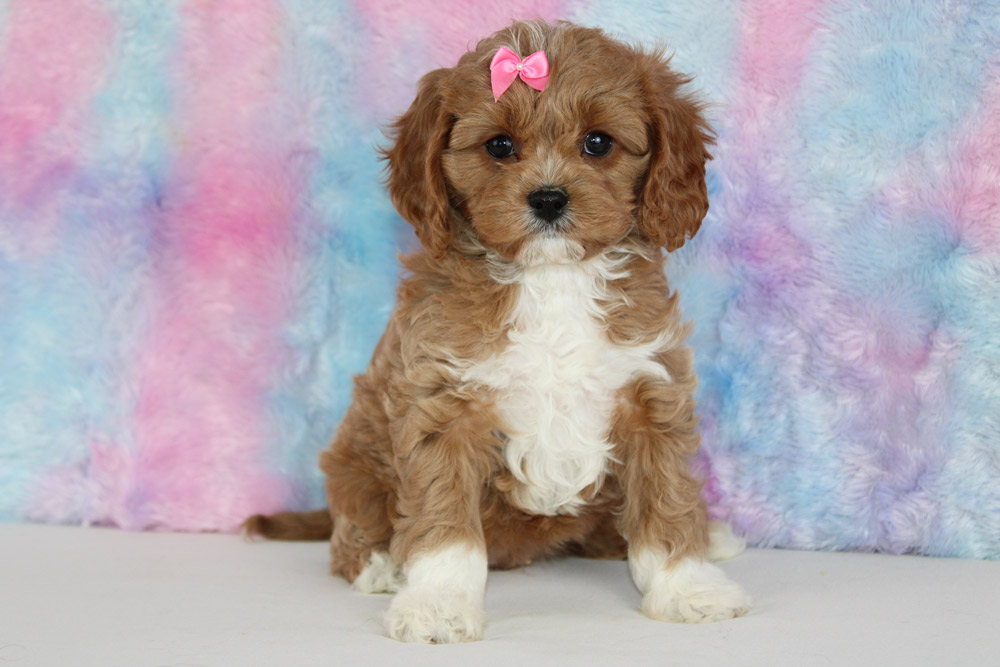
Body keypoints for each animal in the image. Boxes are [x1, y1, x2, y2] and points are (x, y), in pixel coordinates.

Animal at [245, 19, 750, 643]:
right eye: (500, 147)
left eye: (598, 142)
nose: (549, 198)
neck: (551, 276)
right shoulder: (442, 405)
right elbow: (443, 523)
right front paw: (437, 603)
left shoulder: (650, 392)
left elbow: (666, 499)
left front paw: (689, 587)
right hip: (353, 464)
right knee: (353, 526)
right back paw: (380, 564)